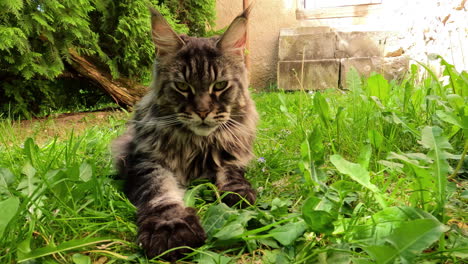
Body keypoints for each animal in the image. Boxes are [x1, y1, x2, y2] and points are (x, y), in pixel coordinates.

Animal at [112, 6, 258, 260]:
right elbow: (160, 192)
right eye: (182, 86)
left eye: (220, 86)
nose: (202, 111)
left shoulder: (232, 154)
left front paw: (238, 193)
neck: (196, 143)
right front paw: (171, 227)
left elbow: (230, 172)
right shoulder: (145, 162)